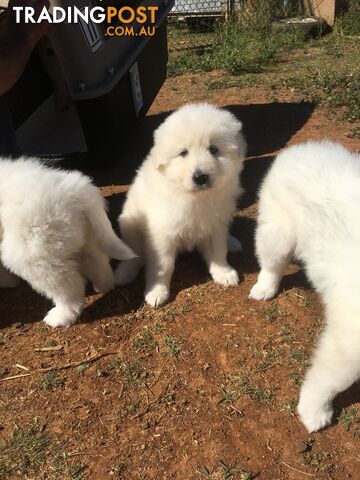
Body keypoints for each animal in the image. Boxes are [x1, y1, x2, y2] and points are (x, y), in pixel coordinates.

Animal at [0, 158, 134, 326]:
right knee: (97, 262)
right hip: (81, 236)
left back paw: (61, 316)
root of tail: (78, 192)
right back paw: (103, 286)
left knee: (69, 287)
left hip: (34, 254)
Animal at [115, 102, 248, 306]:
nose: (200, 177)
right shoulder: (162, 234)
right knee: (134, 253)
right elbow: (164, 265)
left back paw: (231, 241)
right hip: (130, 224)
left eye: (214, 149)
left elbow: (218, 251)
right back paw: (124, 273)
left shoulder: (215, 225)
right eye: (183, 153)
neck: (195, 197)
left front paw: (223, 272)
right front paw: (157, 292)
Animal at [250, 141, 360, 434]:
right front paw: (313, 412)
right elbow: (329, 379)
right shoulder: (347, 341)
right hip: (278, 233)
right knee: (271, 265)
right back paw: (264, 289)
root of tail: (302, 148)